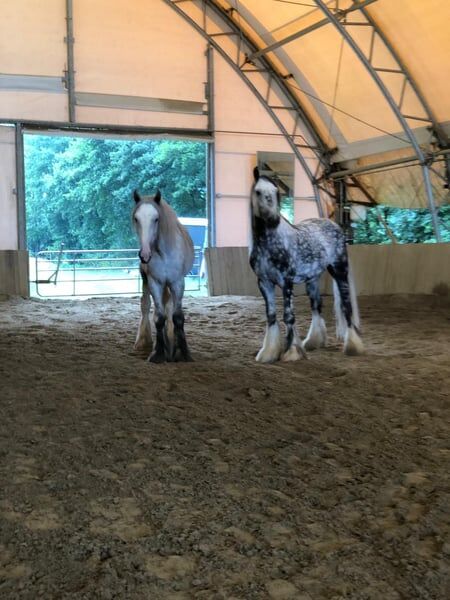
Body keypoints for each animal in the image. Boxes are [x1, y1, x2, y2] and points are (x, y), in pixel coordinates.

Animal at [131, 190, 192, 364]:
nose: (145, 255)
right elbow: (159, 317)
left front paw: (182, 352)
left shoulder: (177, 283)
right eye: (136, 218)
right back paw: (144, 342)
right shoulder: (155, 283)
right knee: (146, 306)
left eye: (156, 219)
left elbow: (177, 316)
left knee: (168, 307)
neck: (164, 253)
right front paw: (158, 352)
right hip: (146, 281)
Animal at [248, 166, 364, 364]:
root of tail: (335, 225)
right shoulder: (264, 282)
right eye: (258, 192)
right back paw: (313, 341)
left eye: (276, 192)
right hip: (313, 279)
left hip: (340, 271)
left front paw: (291, 352)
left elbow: (288, 316)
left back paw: (353, 346)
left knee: (346, 306)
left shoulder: (286, 282)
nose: (273, 220)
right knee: (316, 306)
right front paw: (269, 353)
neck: (269, 242)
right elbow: (271, 315)